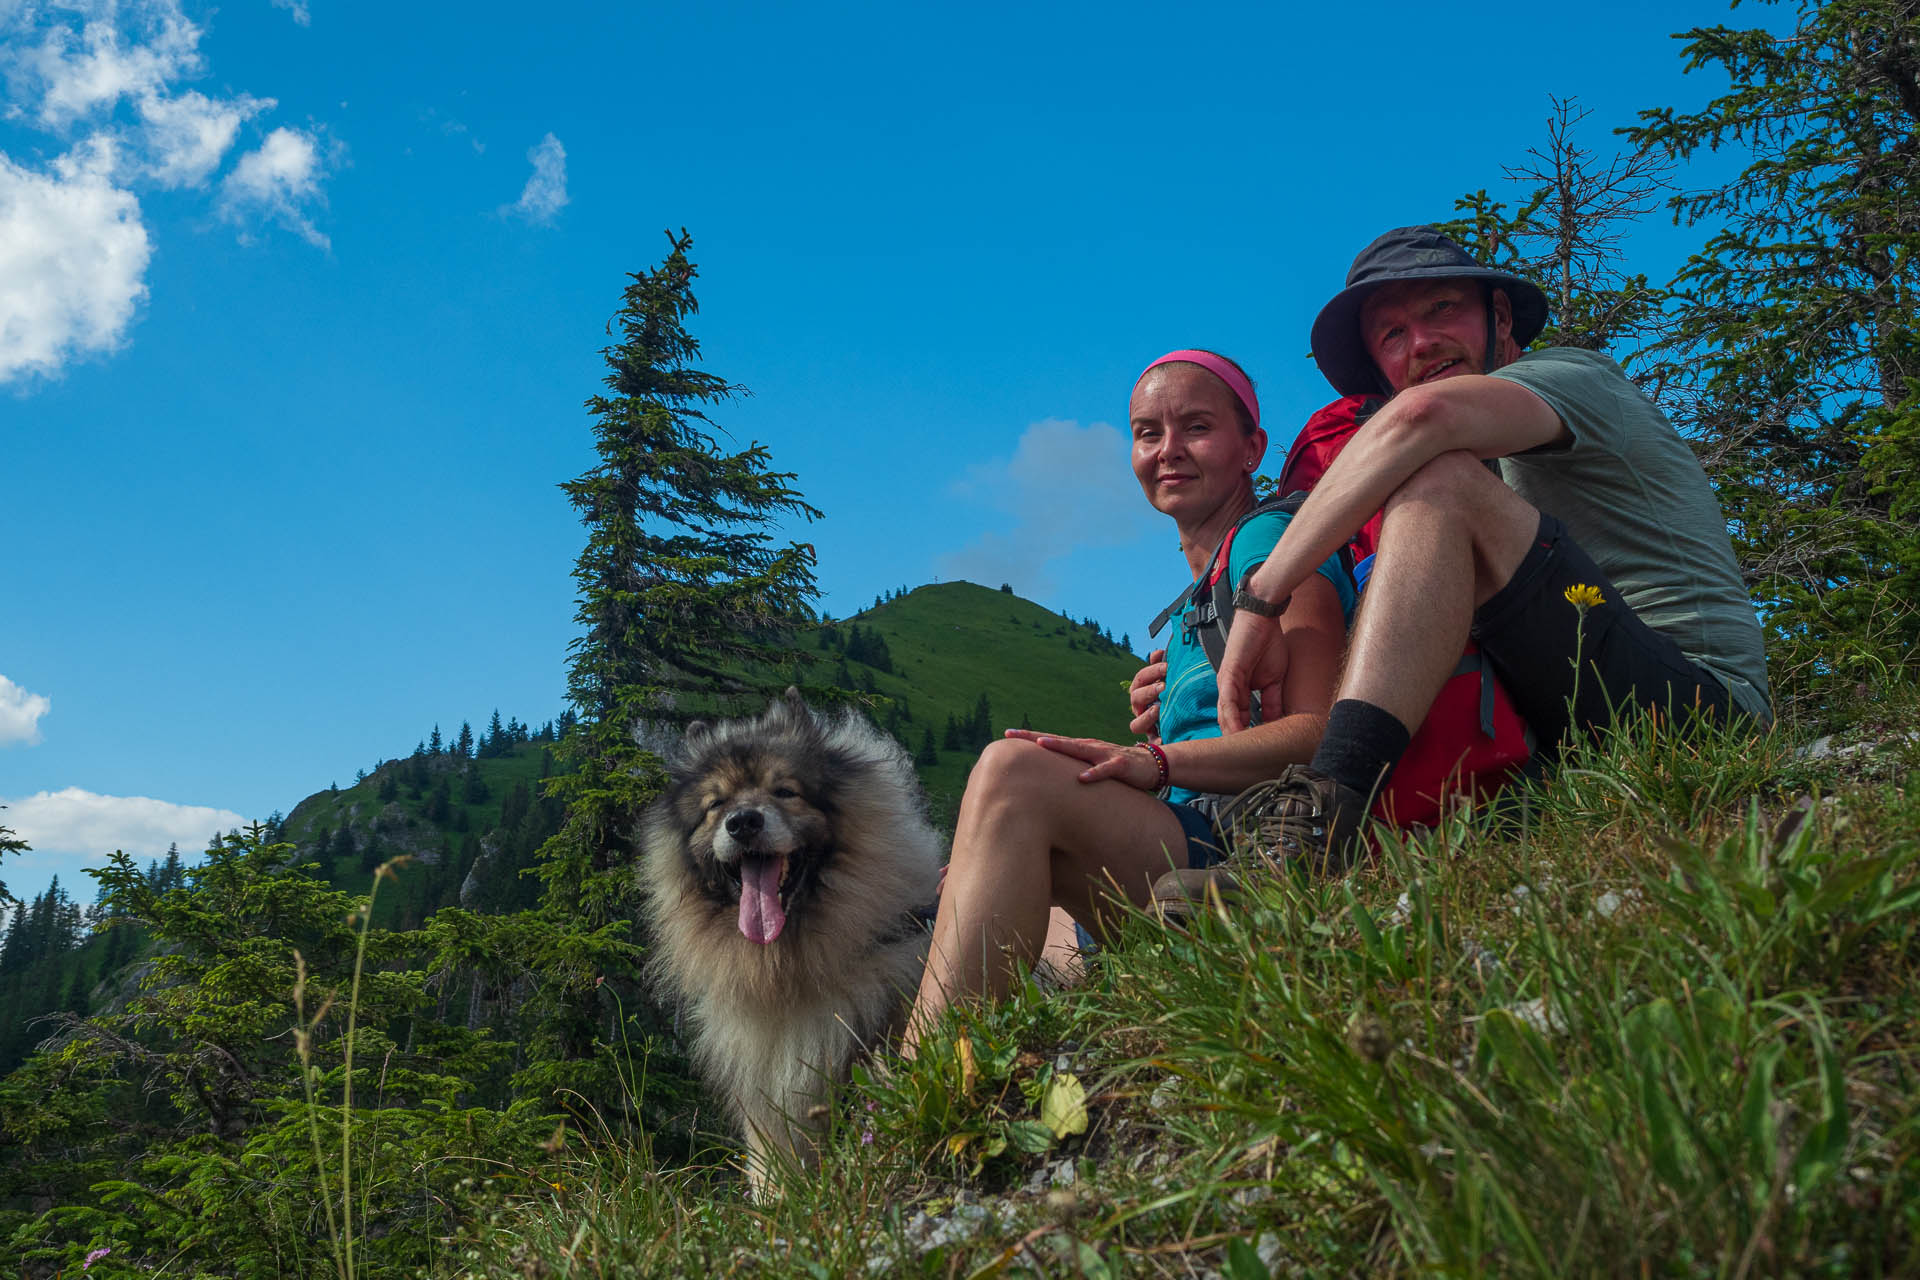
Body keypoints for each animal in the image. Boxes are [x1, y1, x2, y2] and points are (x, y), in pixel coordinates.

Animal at [637, 687, 944, 1197]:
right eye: (716, 804)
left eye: (785, 791)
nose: (743, 822)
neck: (787, 972)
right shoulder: (767, 1106)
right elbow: (771, 1178)